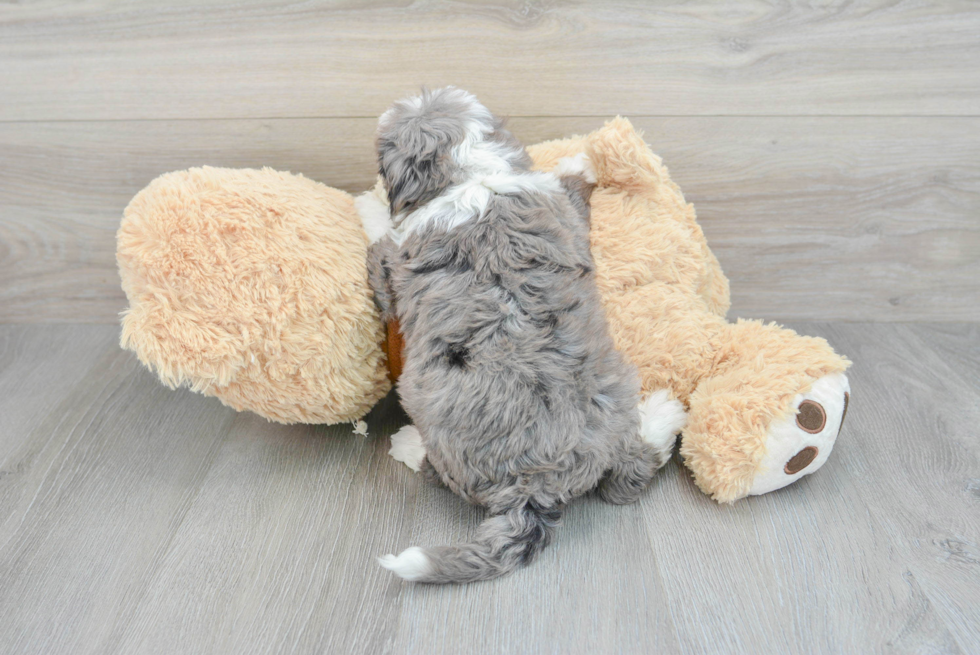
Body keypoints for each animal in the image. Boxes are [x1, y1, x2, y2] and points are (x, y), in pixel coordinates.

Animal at [356, 88, 684, 584]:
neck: (476, 173)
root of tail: (538, 483)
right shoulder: (563, 211)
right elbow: (573, 190)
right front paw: (581, 160)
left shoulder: (395, 269)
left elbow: (382, 239)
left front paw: (368, 204)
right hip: (617, 394)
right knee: (633, 469)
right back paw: (665, 415)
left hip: (426, 406)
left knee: (437, 472)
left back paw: (407, 445)